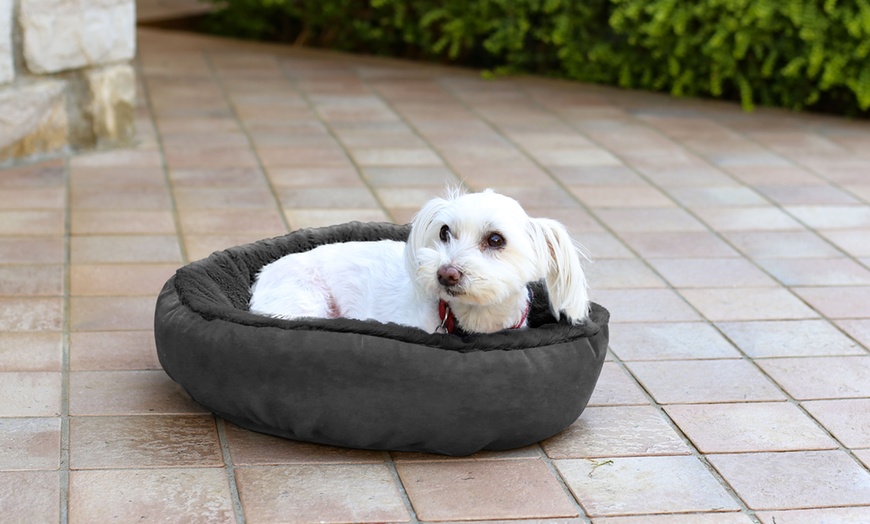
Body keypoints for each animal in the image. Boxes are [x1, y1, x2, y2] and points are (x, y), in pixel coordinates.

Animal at [252, 190, 592, 334]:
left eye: (496, 240)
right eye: (444, 232)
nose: (446, 273)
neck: (470, 323)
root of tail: (262, 275)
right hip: (305, 300)